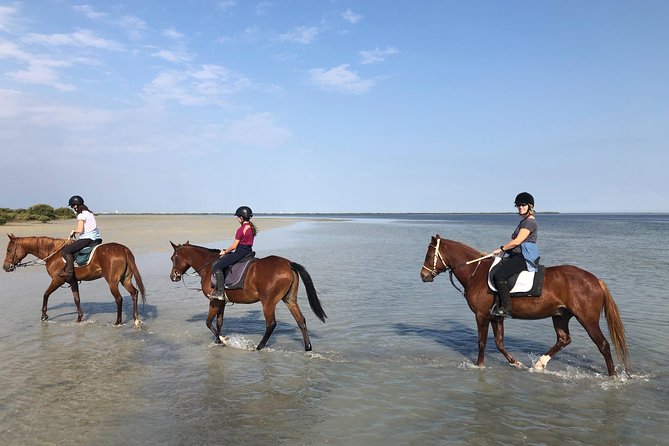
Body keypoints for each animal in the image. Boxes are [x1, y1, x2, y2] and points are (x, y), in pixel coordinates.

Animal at [2, 235, 146, 326]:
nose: (5, 267)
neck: (53, 254)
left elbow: (46, 294)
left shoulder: (57, 280)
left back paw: (118, 321)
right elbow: (77, 299)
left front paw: (44, 315)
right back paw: (136, 319)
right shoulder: (73, 281)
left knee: (119, 299)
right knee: (134, 293)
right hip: (125, 280)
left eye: (8, 249)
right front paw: (79, 318)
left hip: (112, 282)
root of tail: (124, 249)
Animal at [170, 242, 326, 350]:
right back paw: (308, 347)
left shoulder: (214, 301)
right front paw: (218, 340)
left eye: (172, 258)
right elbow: (219, 322)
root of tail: (288, 264)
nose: (173, 277)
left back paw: (259, 347)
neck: (208, 266)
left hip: (268, 302)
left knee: (271, 324)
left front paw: (222, 339)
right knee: (301, 320)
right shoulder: (221, 302)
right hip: (289, 299)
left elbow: (208, 322)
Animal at [420, 235, 628, 378]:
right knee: (563, 339)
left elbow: (482, 342)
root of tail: (595, 280)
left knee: (603, 345)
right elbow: (499, 343)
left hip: (587, 319)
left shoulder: (481, 315)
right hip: (560, 315)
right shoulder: (496, 316)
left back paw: (612, 377)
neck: (476, 273)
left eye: (429, 255)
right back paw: (539, 364)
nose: (423, 275)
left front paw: (479, 366)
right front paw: (516, 363)